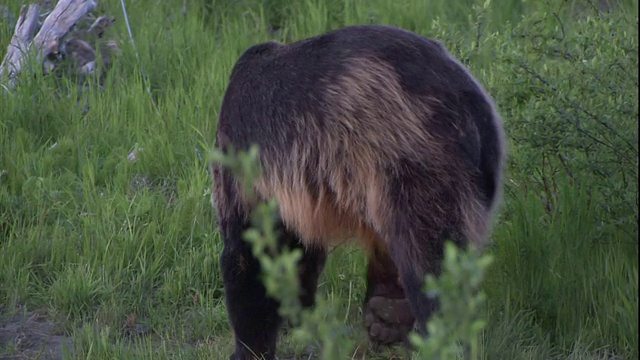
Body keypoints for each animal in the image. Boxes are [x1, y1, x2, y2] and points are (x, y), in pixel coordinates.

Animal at [212, 23, 508, 358]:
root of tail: (469, 109)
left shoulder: (249, 171)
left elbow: (250, 256)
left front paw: (249, 345)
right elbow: (298, 256)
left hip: (410, 160)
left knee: (429, 258)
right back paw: (388, 313)